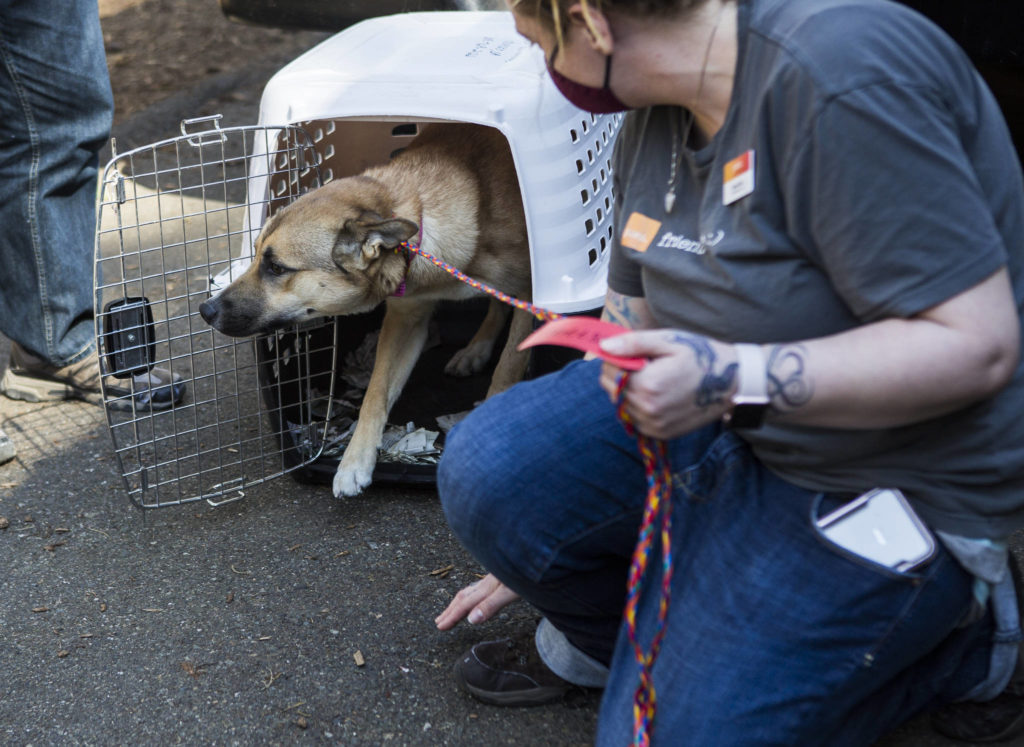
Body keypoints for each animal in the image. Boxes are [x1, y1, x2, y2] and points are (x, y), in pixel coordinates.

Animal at [201, 120, 536, 495]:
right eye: (256, 254)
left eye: (276, 268)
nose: (205, 310)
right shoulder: (406, 317)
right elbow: (375, 391)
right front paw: (354, 462)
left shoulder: (533, 295)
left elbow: (508, 365)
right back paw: (476, 348)